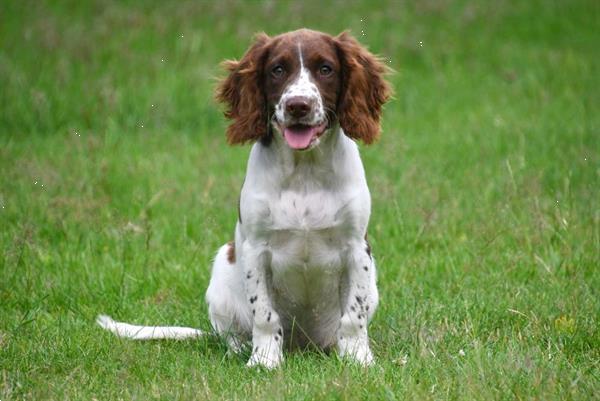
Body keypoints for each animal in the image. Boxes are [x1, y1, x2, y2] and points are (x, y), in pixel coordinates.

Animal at [96, 28, 392, 368]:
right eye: (278, 69)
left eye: (326, 69)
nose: (298, 106)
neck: (304, 173)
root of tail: (304, 345)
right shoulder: (255, 248)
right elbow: (264, 314)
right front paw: (264, 361)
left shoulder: (357, 248)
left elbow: (354, 315)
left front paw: (359, 359)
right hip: (221, 272)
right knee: (231, 333)